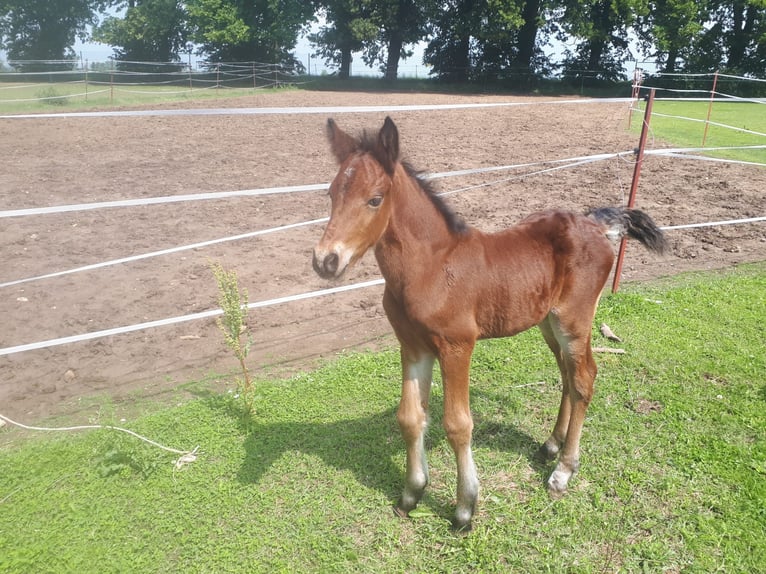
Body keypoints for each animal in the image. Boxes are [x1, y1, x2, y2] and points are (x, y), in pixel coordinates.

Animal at [312, 117, 664, 536]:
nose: (325, 261)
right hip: (547, 323)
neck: (430, 268)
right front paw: (412, 493)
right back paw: (550, 445)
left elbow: (458, 423)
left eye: (375, 199)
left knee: (584, 378)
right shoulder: (412, 346)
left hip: (574, 320)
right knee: (566, 374)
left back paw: (563, 470)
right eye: (331, 193)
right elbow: (410, 417)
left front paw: (465, 508)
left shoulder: (457, 346)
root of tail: (596, 224)